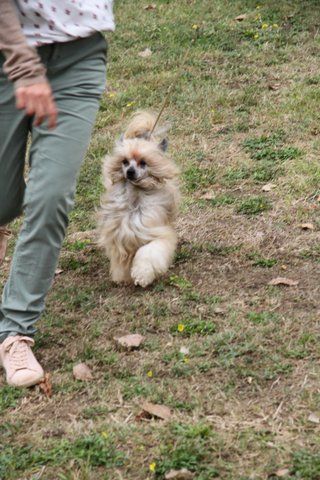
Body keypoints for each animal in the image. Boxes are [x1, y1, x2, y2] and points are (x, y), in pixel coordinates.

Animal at [99, 110, 180, 286]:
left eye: (143, 163)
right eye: (124, 162)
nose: (130, 171)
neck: (133, 198)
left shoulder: (154, 232)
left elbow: (147, 252)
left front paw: (142, 274)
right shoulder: (120, 236)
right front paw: (123, 276)